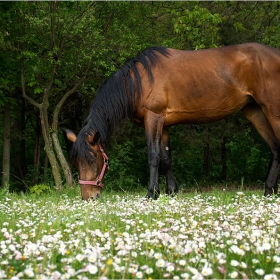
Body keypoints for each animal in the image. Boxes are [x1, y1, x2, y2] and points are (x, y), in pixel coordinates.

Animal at [66, 42, 280, 200]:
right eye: (75, 162)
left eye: (92, 158)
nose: (88, 197)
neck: (138, 82)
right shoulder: (164, 124)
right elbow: (166, 158)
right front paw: (171, 192)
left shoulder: (153, 118)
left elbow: (153, 156)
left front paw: (151, 193)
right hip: (255, 111)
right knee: (275, 148)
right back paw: (269, 191)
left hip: (272, 110)